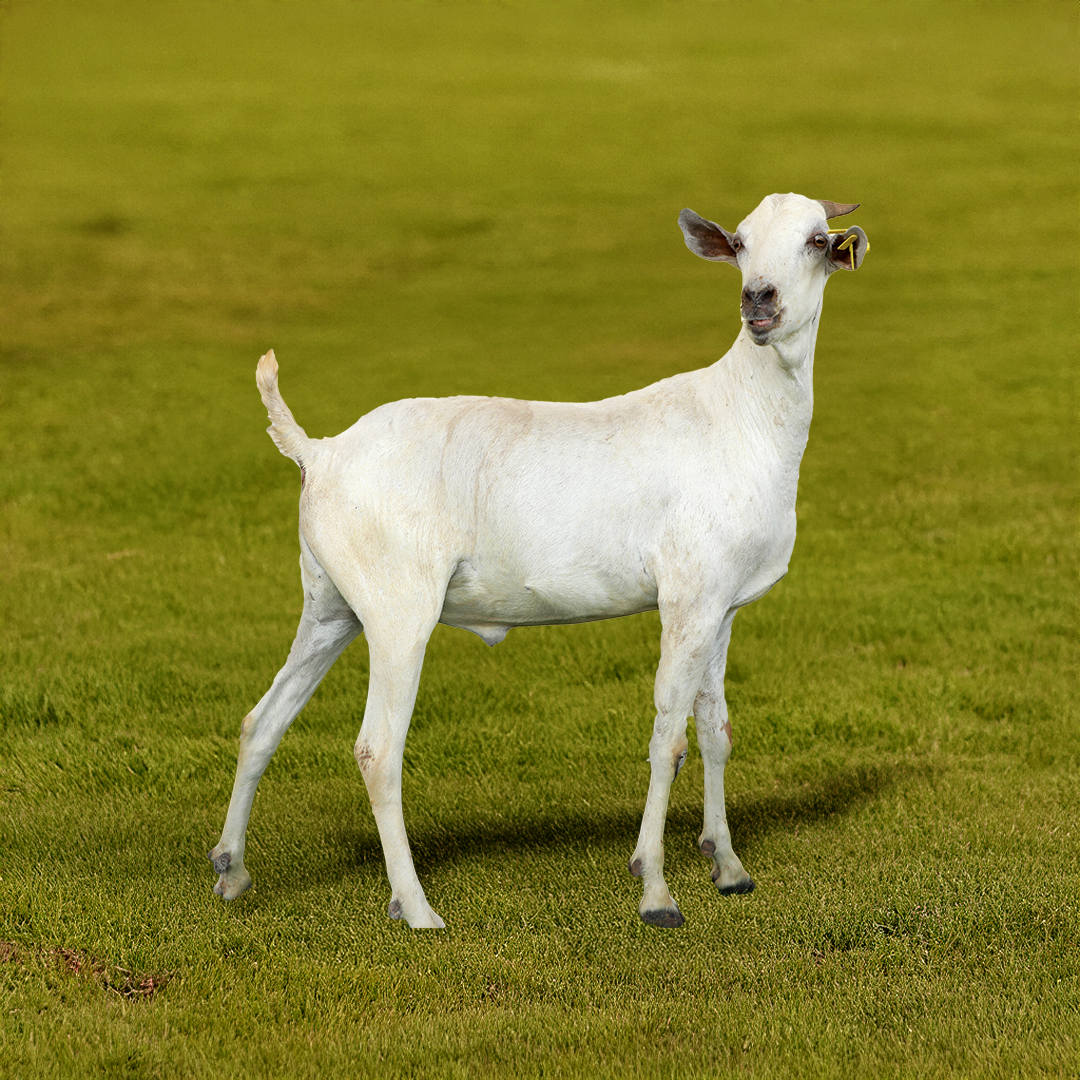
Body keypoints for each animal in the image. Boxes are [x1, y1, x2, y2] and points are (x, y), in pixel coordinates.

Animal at [209, 192, 868, 929]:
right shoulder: (687, 598)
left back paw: (232, 873)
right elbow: (668, 736)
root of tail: (319, 452)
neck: (741, 415)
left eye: (816, 241)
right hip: (398, 611)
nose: (760, 299)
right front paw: (655, 891)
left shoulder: (719, 605)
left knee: (262, 722)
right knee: (377, 749)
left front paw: (728, 869)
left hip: (330, 606)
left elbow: (715, 729)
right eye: (743, 242)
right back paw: (417, 908)